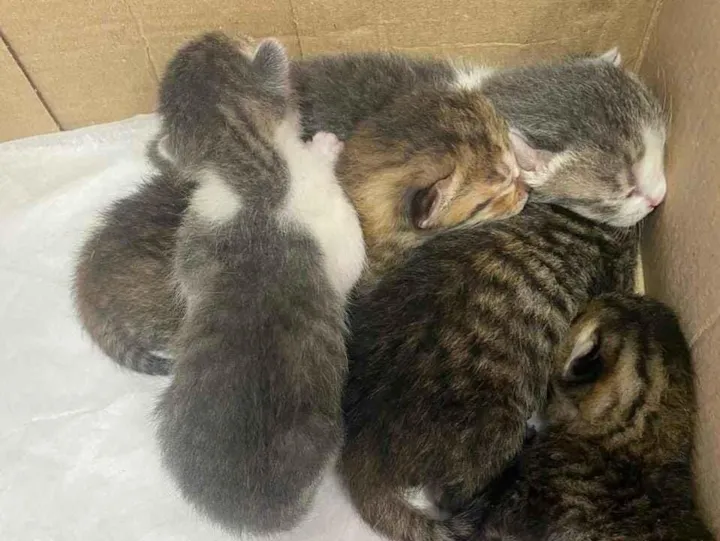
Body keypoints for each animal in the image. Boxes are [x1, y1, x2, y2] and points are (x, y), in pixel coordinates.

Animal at [152, 34, 365, 534]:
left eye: (216, 42)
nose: (201, 36)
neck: (252, 175)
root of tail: (246, 513)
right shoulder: (331, 214)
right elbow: (348, 267)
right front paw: (324, 145)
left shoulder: (192, 242)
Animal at [337, 53, 667, 541]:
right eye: (624, 190)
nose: (659, 198)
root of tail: (362, 450)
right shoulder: (617, 275)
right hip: (492, 427)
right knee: (456, 493)